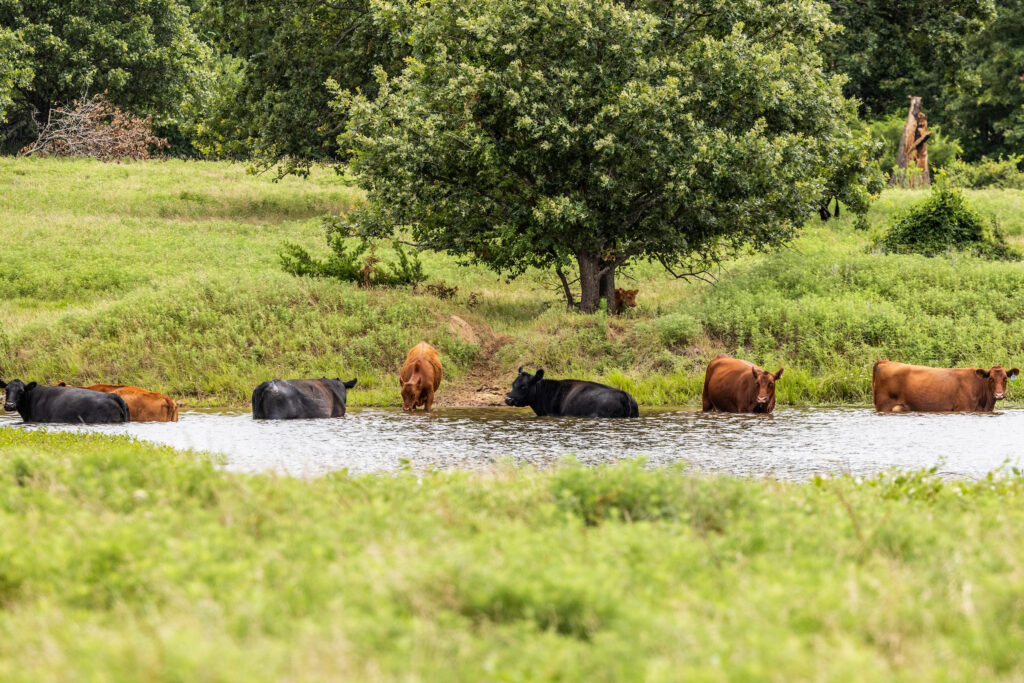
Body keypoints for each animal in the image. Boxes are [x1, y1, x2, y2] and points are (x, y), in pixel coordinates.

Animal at [871, 360, 1019, 413]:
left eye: (1005, 378)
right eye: (991, 378)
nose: (999, 394)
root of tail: (885, 362)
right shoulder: (964, 408)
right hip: (884, 405)